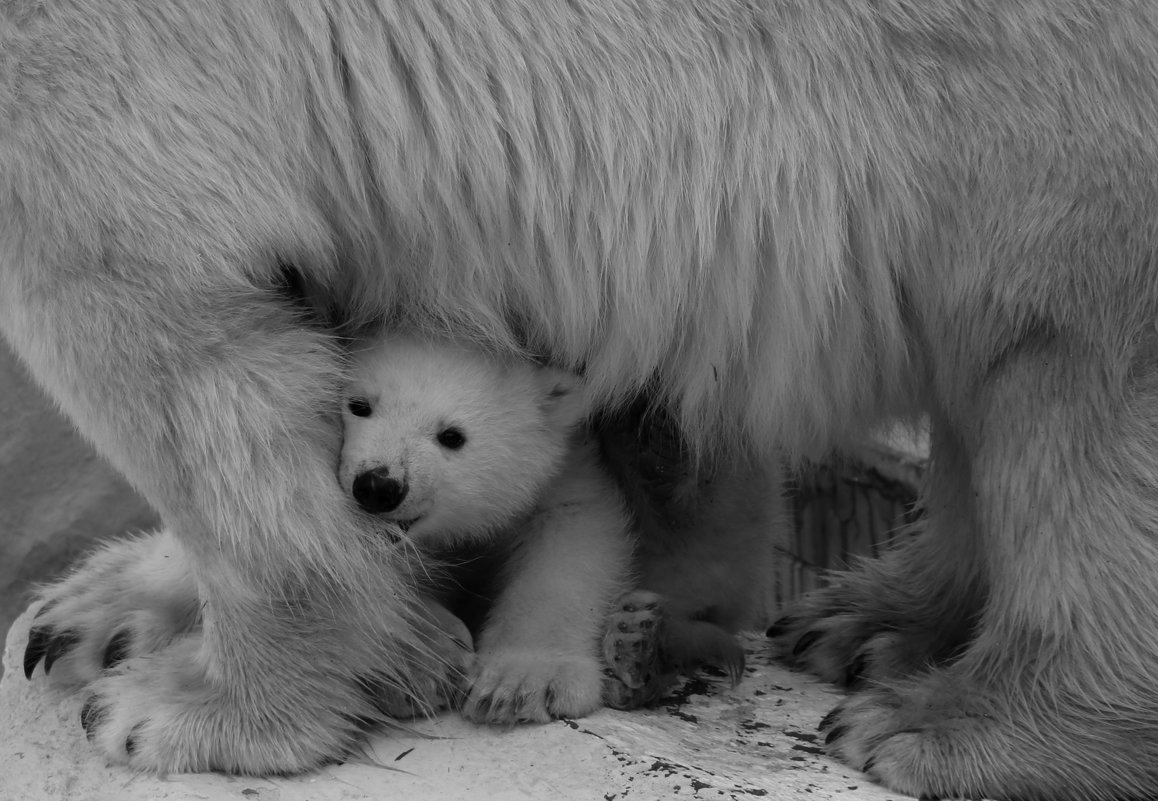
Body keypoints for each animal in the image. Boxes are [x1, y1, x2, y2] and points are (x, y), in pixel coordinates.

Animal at [2, 0, 1158, 796]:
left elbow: (177, 345)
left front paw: (187, 711)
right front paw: (95, 615)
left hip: (1045, 118)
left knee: (1086, 390)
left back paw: (947, 726)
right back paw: (868, 623)